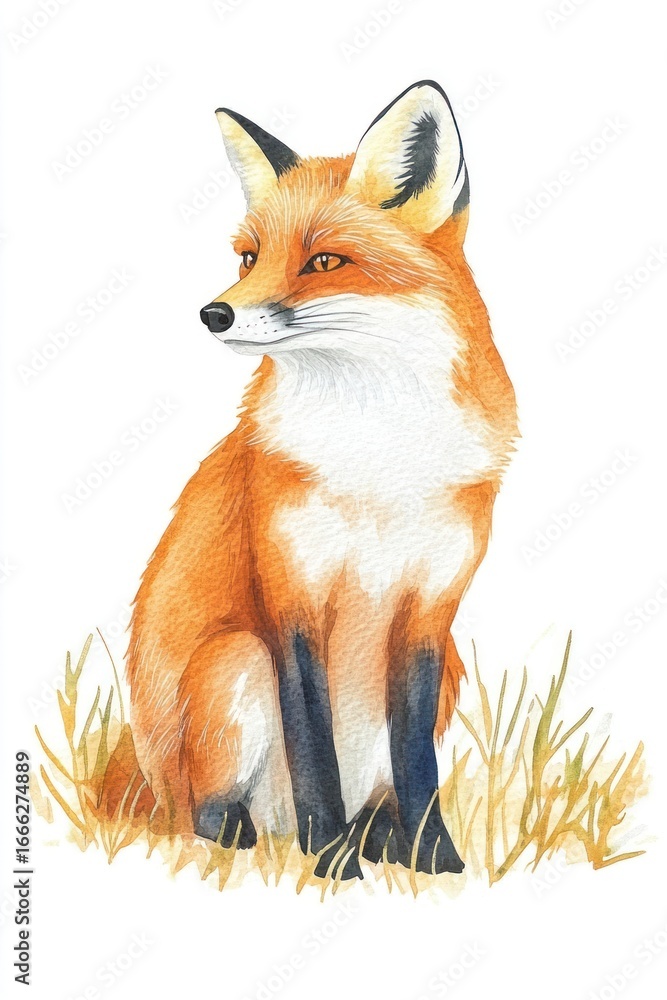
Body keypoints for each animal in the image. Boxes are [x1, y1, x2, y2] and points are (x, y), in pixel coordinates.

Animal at [126, 80, 517, 879]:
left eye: (325, 261)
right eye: (249, 256)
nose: (213, 313)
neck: (380, 460)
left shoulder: (430, 611)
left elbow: (416, 765)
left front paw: (436, 860)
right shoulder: (291, 596)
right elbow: (313, 747)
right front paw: (332, 862)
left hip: (449, 670)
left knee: (380, 787)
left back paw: (381, 837)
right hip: (235, 660)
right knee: (209, 816)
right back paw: (262, 837)